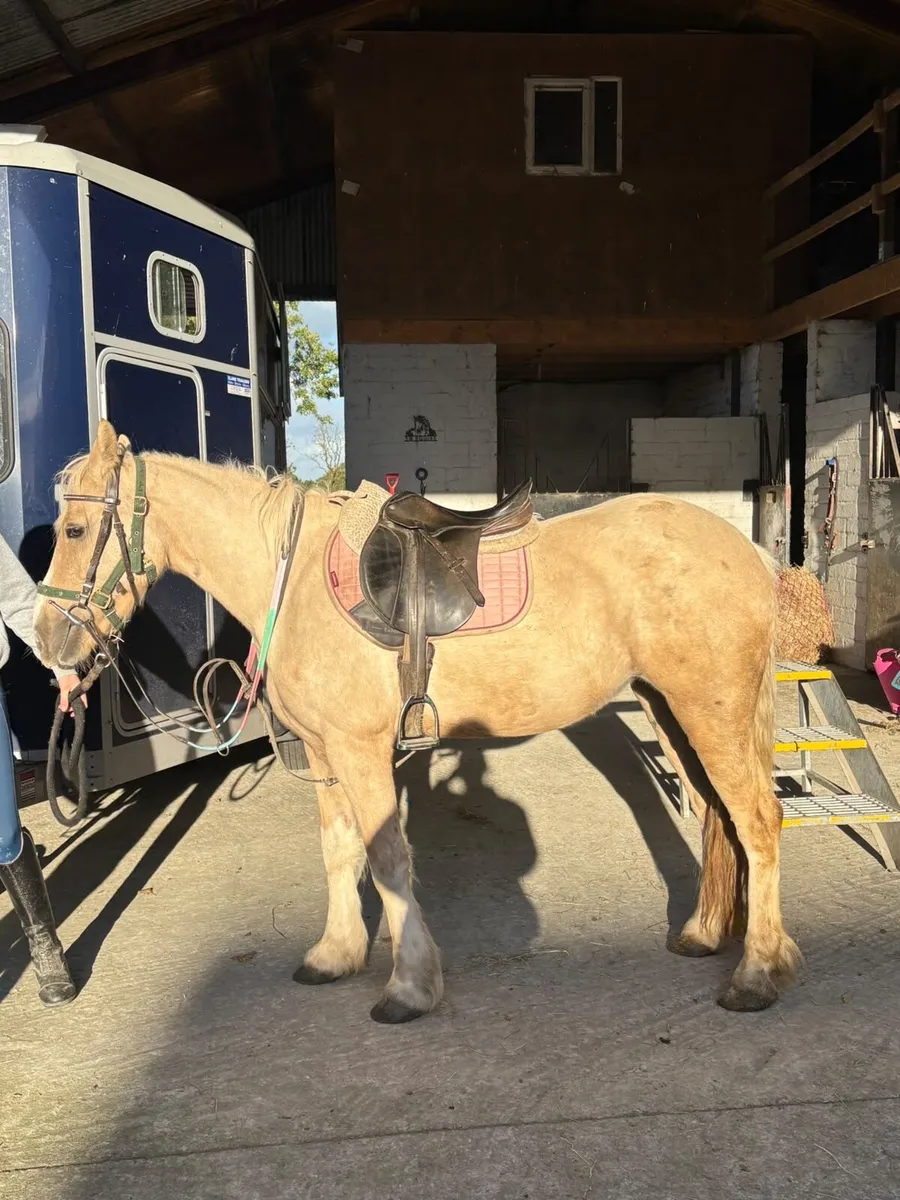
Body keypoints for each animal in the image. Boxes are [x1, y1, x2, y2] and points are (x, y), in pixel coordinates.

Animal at [33, 420, 800, 1024]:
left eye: (75, 529)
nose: (47, 644)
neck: (294, 575)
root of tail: (752, 552)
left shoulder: (360, 750)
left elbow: (387, 859)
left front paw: (408, 987)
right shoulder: (325, 755)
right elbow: (340, 852)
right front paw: (336, 954)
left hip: (710, 712)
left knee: (758, 821)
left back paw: (757, 974)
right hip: (671, 710)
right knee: (719, 817)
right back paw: (705, 934)